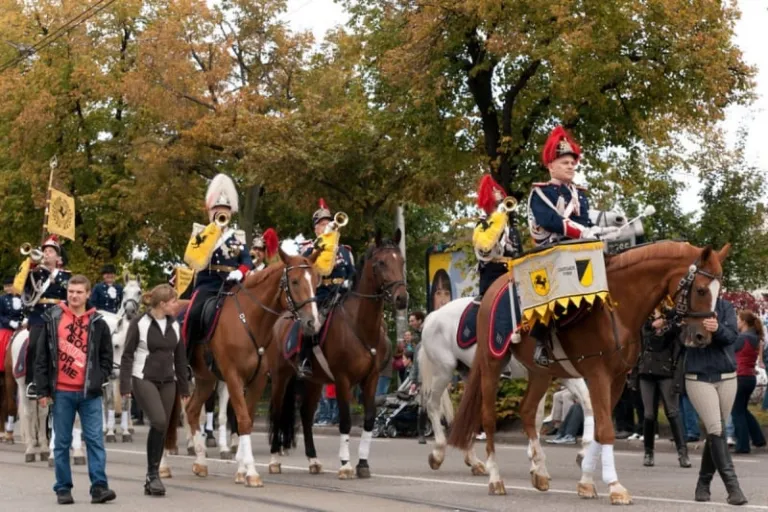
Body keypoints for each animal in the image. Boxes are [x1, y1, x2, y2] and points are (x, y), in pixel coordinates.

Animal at [99, 277, 142, 443]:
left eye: (139, 292)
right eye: (124, 291)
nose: (130, 311)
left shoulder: (128, 378)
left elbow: (125, 403)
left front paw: (126, 431)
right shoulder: (111, 378)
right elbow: (111, 403)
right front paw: (111, 432)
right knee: (103, 401)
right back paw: (104, 427)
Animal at [183, 247, 322, 487]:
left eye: (315, 280)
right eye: (294, 281)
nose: (313, 322)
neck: (248, 320)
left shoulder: (258, 381)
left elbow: (244, 421)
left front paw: (242, 470)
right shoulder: (233, 377)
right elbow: (243, 420)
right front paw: (251, 471)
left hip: (205, 380)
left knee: (191, 410)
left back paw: (200, 462)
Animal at [268, 229, 408, 479]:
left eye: (401, 261)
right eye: (381, 263)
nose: (402, 298)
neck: (361, 326)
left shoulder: (371, 379)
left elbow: (369, 419)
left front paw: (363, 463)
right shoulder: (343, 380)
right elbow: (344, 421)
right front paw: (345, 464)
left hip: (314, 382)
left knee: (305, 415)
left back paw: (313, 460)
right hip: (280, 377)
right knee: (277, 412)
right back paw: (274, 460)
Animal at [417, 296, 593, 476]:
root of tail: (433, 315)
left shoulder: (563, 374)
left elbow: (587, 402)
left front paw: (582, 455)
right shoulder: (540, 375)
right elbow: (536, 415)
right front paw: (536, 461)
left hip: (470, 376)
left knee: (467, 414)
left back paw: (473, 462)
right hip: (443, 371)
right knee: (432, 405)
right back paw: (438, 454)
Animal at [448, 241, 730, 505]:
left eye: (719, 291)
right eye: (701, 289)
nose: (702, 336)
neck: (617, 309)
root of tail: (490, 290)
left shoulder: (617, 379)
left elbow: (597, 428)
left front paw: (586, 483)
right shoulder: (598, 376)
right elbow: (605, 429)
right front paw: (615, 487)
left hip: (540, 371)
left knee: (527, 411)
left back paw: (539, 471)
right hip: (492, 362)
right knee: (488, 418)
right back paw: (495, 478)